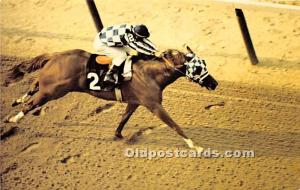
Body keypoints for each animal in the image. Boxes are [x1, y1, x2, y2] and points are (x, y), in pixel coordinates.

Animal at [5, 47, 218, 151]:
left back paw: (15, 103)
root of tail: (56, 55)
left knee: (33, 87)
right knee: (31, 103)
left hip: (49, 86)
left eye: (204, 63)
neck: (151, 74)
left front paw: (118, 135)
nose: (214, 83)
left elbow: (124, 118)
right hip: (53, 91)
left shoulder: (134, 102)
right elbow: (174, 125)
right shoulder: (154, 105)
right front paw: (195, 145)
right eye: (198, 67)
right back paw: (13, 119)